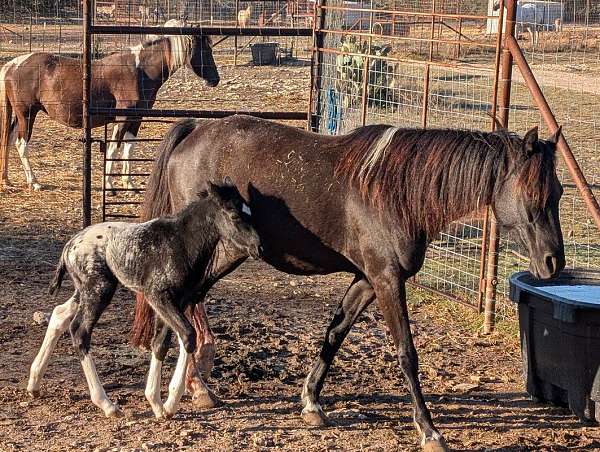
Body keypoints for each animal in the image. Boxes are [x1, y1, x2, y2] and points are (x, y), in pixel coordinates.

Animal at [0, 20, 219, 191]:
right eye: (204, 50)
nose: (215, 80)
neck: (140, 71)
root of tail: (13, 64)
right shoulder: (122, 118)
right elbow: (114, 148)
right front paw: (109, 184)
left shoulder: (136, 119)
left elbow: (129, 148)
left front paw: (128, 183)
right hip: (27, 114)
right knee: (21, 144)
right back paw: (34, 182)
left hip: (20, 116)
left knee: (9, 141)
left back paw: (8, 180)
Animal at [27, 178, 260, 418]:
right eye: (234, 215)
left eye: (251, 212)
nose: (258, 247)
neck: (181, 242)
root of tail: (69, 246)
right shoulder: (158, 296)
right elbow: (187, 335)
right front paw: (169, 404)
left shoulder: (178, 301)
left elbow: (161, 343)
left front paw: (158, 404)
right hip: (99, 290)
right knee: (80, 332)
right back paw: (107, 404)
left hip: (84, 291)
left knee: (59, 315)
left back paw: (34, 384)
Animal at [130, 115, 564, 450]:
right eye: (531, 193)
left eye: (558, 192)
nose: (553, 263)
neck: (397, 191)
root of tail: (195, 130)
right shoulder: (387, 280)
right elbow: (407, 353)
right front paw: (429, 430)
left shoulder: (367, 281)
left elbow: (334, 334)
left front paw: (311, 403)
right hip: (216, 255)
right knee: (182, 305)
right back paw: (175, 395)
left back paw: (181, 393)